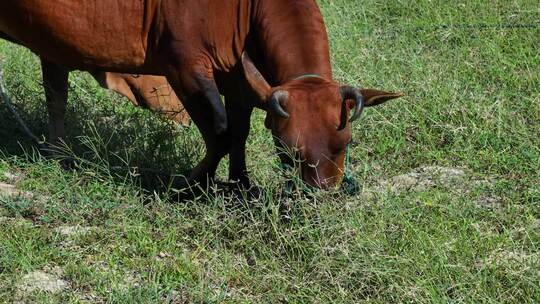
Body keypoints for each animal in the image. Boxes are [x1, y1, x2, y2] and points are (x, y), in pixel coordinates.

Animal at [0, 0, 400, 190]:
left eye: (345, 143)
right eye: (287, 150)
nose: (324, 195)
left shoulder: (237, 78)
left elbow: (238, 134)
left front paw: (241, 184)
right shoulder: (184, 69)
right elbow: (220, 133)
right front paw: (190, 184)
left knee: (56, 94)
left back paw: (59, 153)